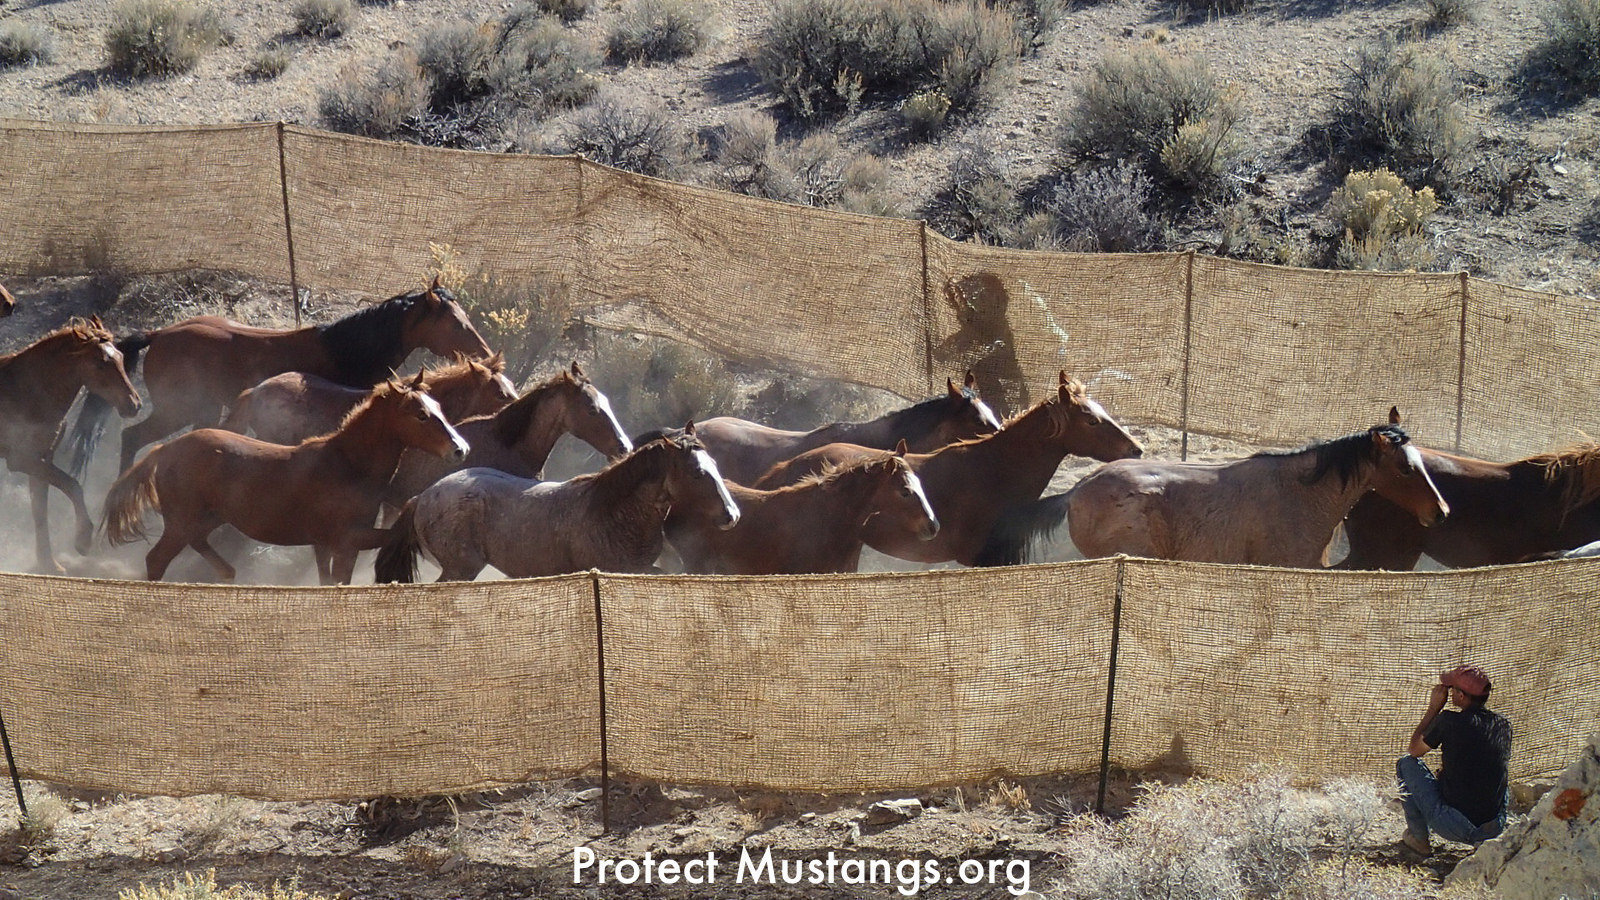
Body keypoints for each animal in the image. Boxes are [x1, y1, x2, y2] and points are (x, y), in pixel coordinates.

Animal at [0, 317, 141, 573]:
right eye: (100, 364)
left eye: (120, 357)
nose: (134, 404)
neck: (29, 391)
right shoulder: (20, 459)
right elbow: (72, 485)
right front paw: (83, 539)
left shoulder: (42, 458)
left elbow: (40, 511)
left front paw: (49, 564)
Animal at [103, 373, 469, 584]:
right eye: (421, 415)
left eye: (438, 406)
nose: (460, 449)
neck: (348, 465)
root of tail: (164, 450)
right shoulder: (348, 540)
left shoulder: (327, 544)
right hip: (181, 523)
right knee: (156, 560)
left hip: (206, 520)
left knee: (201, 549)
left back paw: (228, 574)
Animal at [374, 424, 739, 583]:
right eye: (697, 473)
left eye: (716, 466)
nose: (732, 515)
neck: (613, 513)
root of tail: (423, 496)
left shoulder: (639, 569)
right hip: (460, 569)